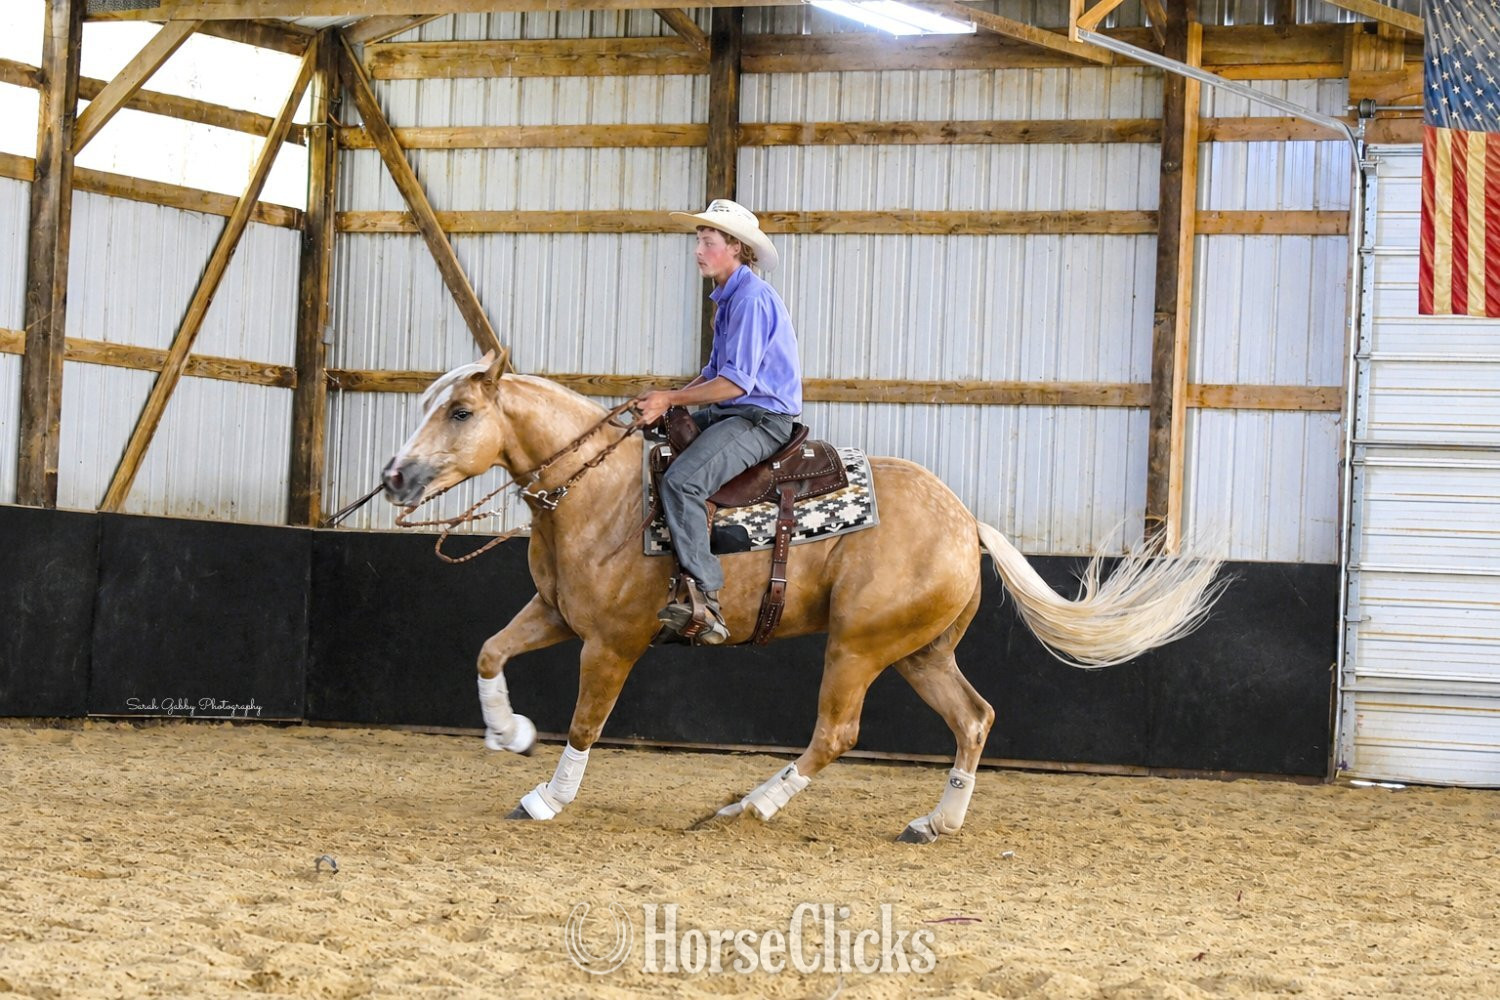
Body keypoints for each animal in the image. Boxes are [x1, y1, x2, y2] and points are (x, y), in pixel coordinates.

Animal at [380, 352, 1224, 843]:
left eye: (461, 411)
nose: (395, 475)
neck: (603, 492)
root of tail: (965, 523)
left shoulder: (612, 642)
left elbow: (587, 724)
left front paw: (547, 800)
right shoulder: (557, 615)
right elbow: (489, 651)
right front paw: (507, 732)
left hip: (858, 646)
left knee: (838, 733)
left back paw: (747, 807)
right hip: (920, 652)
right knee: (974, 718)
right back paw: (933, 822)